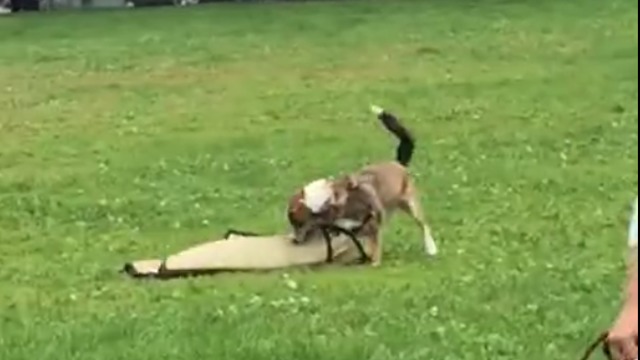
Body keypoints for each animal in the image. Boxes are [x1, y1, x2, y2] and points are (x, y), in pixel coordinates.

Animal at [288, 105, 438, 266]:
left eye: (298, 224)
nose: (294, 241)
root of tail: (398, 163)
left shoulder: (373, 222)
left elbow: (375, 245)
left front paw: (374, 264)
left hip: (411, 205)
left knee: (424, 225)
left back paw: (431, 249)